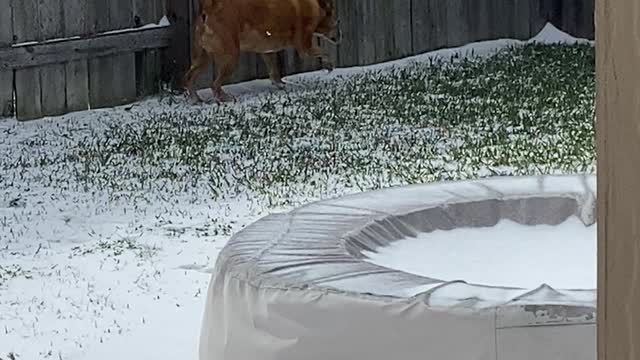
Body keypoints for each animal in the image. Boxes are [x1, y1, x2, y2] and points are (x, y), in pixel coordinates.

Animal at [181, 0, 340, 103]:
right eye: (337, 22)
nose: (340, 36)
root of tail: (208, 8)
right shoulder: (304, 47)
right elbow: (323, 52)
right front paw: (329, 65)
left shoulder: (267, 51)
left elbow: (274, 70)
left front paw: (280, 84)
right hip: (231, 57)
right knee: (214, 84)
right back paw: (224, 98)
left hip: (202, 58)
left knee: (189, 77)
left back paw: (195, 99)